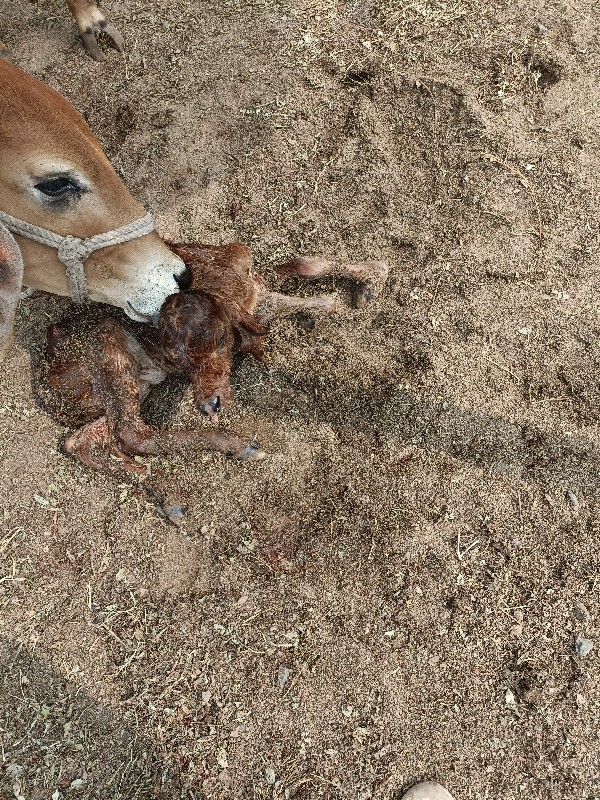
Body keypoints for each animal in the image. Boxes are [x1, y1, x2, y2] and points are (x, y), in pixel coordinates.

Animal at [43, 239, 390, 476]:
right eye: (180, 363)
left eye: (222, 339)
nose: (209, 404)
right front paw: (347, 293)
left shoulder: (254, 287)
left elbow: (306, 273)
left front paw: (369, 278)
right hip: (109, 346)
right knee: (132, 433)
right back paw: (237, 445)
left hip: (134, 383)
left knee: (83, 441)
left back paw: (149, 483)